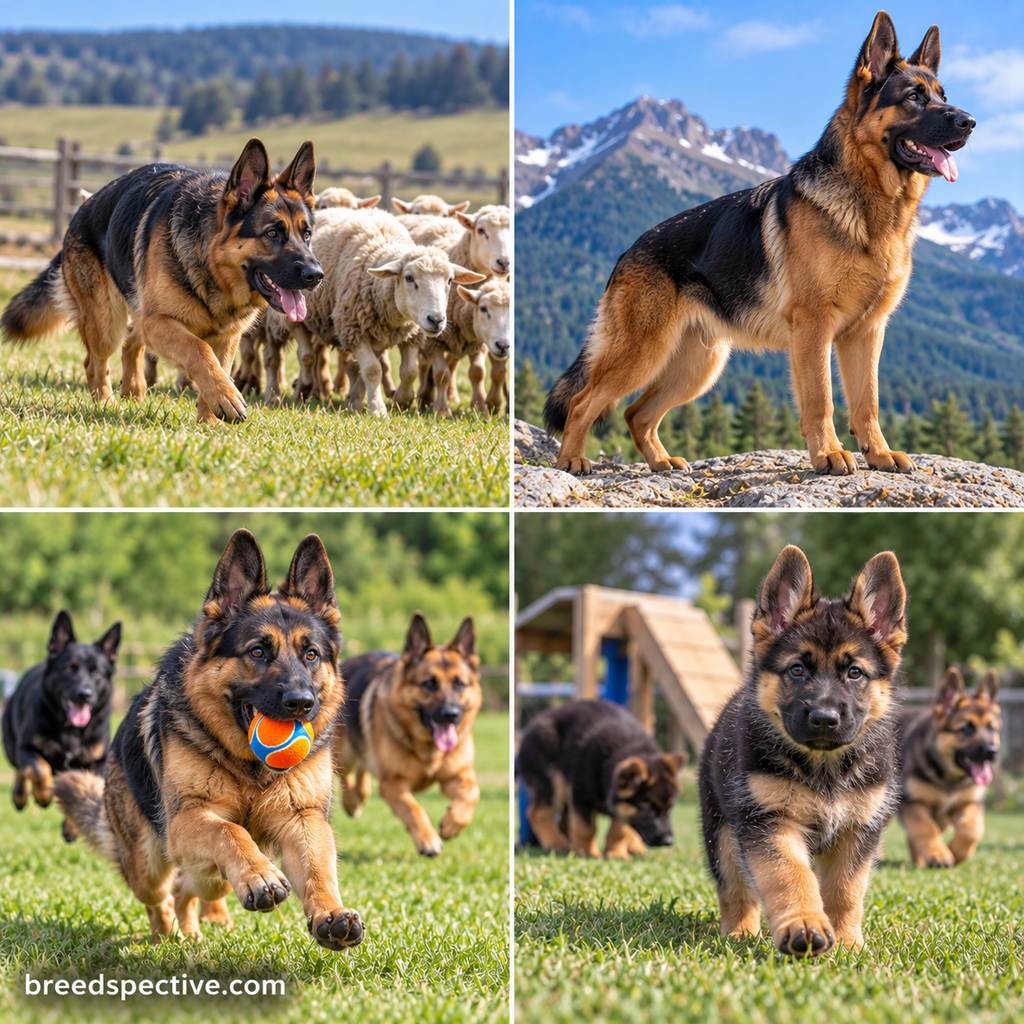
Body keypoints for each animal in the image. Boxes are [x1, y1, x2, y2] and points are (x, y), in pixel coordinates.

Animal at [419, 278, 509, 415]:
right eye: (483, 308)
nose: (503, 346)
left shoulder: (479, 345)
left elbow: (478, 372)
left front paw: (482, 408)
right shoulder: (433, 343)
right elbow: (441, 374)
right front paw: (442, 410)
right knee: (423, 365)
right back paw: (421, 398)